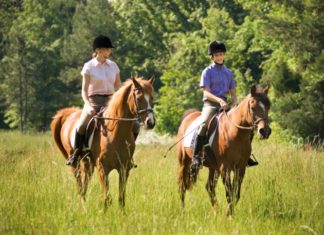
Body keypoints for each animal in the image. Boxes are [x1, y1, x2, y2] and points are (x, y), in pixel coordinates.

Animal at [50, 76, 156, 207]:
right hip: (75, 163)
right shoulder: (102, 169)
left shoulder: (124, 169)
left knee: (85, 186)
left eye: (152, 98)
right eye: (139, 97)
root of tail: (69, 114)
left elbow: (121, 199)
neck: (115, 133)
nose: (150, 122)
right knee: (79, 186)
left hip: (88, 162)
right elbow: (107, 198)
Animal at [177, 84, 270, 215]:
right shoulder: (225, 167)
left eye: (268, 106)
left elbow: (236, 194)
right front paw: (229, 215)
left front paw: (229, 213)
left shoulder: (240, 168)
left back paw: (215, 211)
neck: (235, 133)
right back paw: (183, 211)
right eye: (252, 107)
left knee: (209, 187)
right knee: (182, 186)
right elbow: (229, 193)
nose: (265, 131)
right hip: (183, 162)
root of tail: (188, 116)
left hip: (213, 167)